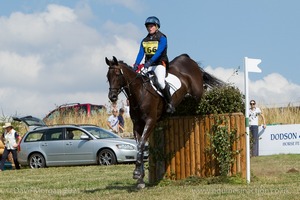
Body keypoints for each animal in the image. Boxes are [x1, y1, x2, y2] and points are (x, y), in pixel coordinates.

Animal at [105, 54, 223, 188]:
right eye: (108, 77)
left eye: (117, 74)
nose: (112, 97)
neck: (140, 93)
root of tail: (187, 58)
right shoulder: (137, 125)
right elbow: (139, 146)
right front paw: (140, 179)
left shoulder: (150, 121)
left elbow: (141, 144)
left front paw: (137, 173)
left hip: (197, 92)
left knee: (203, 91)